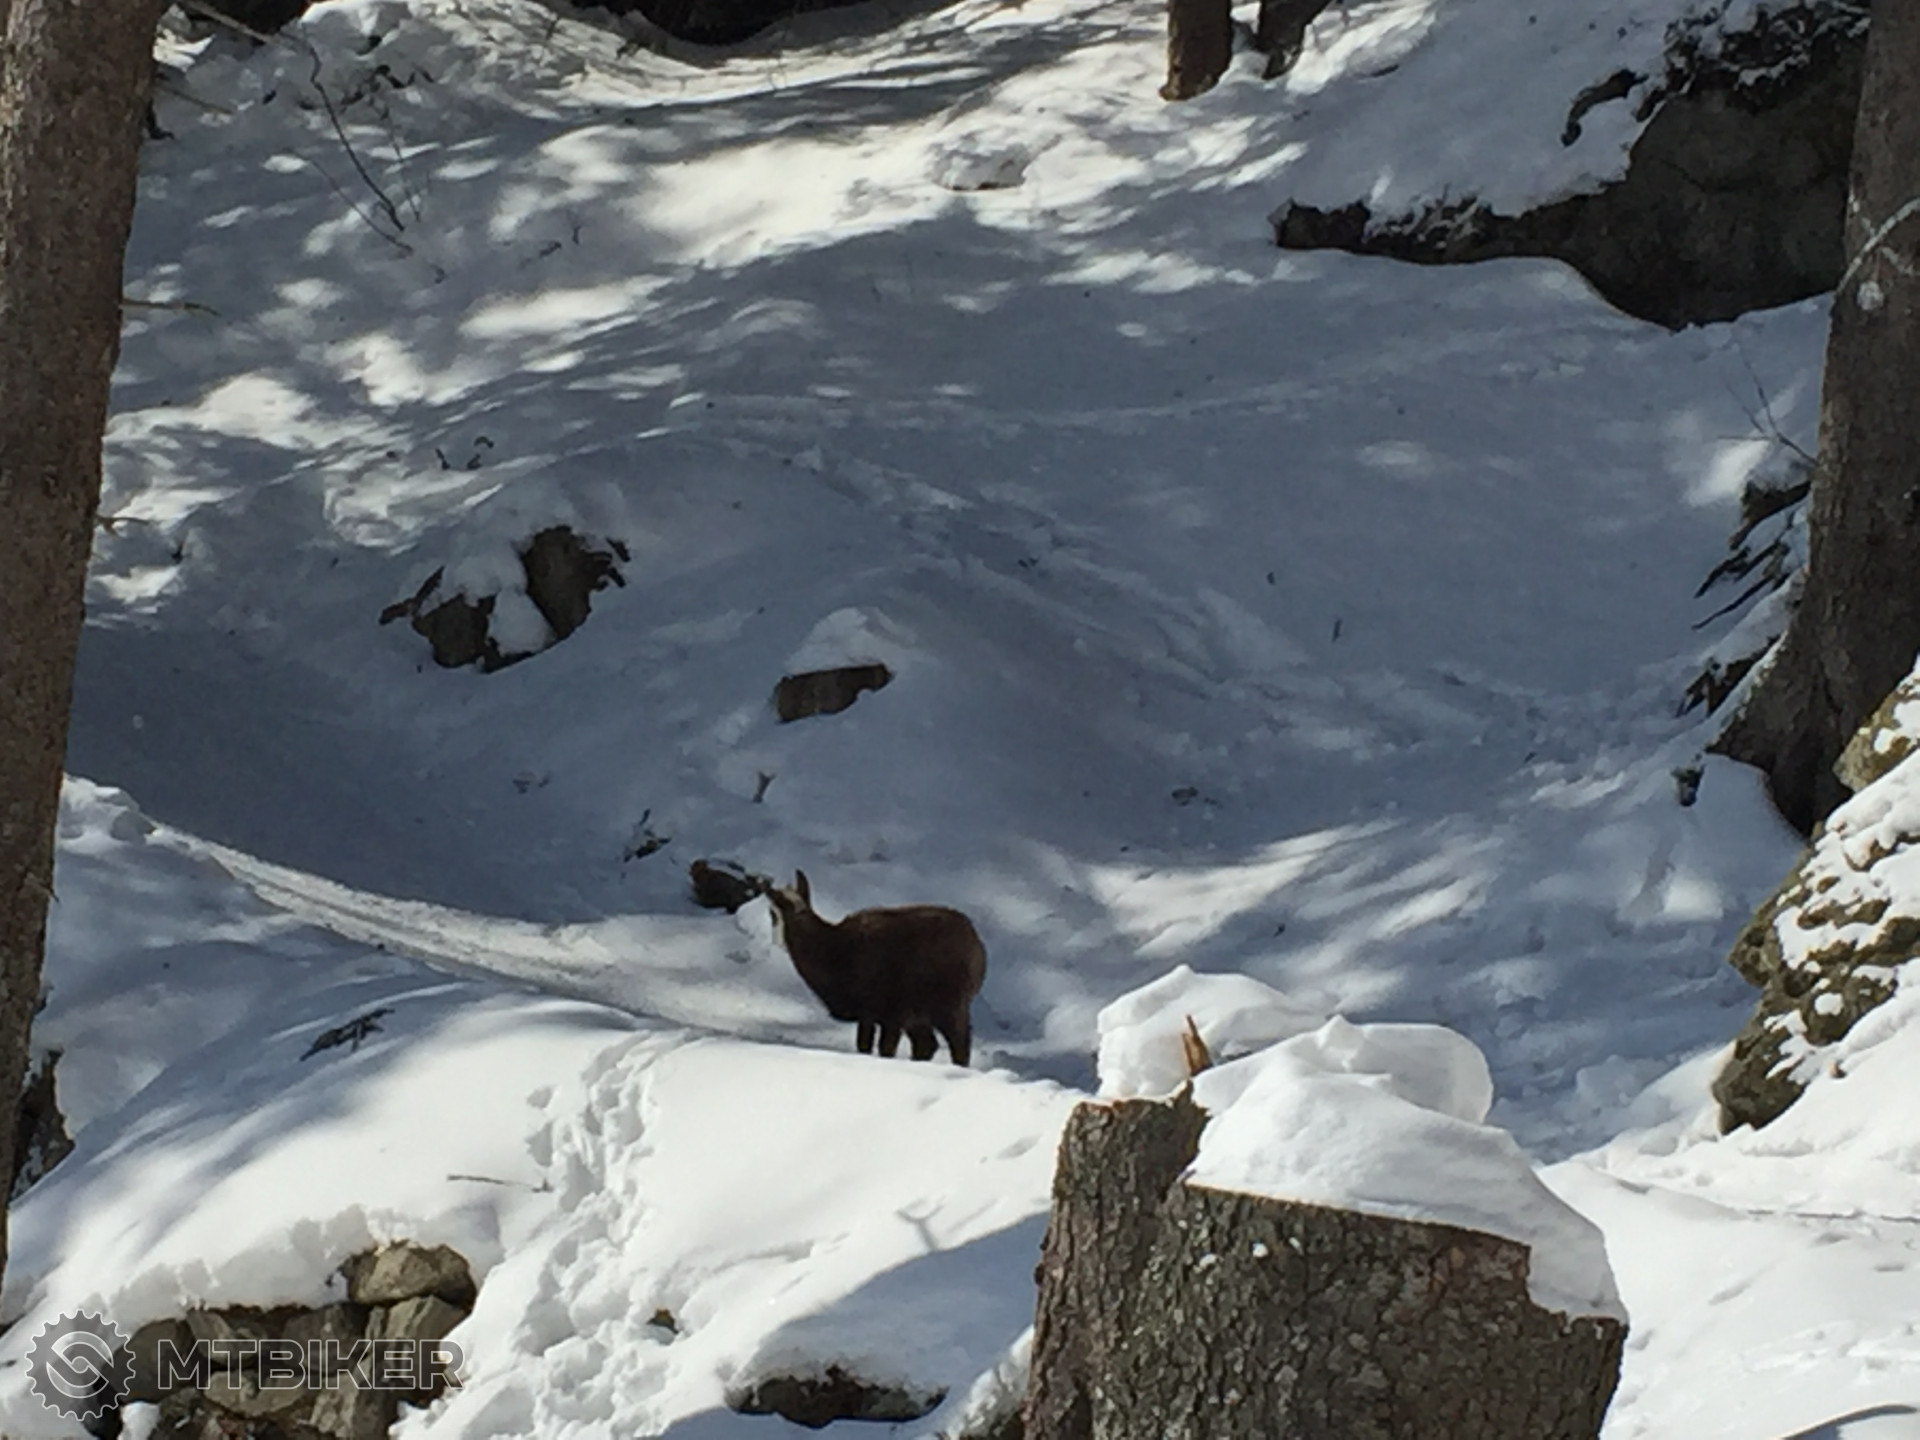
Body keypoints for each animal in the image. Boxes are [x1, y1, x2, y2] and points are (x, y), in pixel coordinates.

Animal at [763, 871, 987, 1066]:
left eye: (772, 914)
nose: (776, 941)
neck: (835, 948)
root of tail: (976, 943)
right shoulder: (887, 1017)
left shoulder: (885, 1016)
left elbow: (878, 1049)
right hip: (921, 1016)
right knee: (926, 1046)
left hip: (949, 1007)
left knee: (959, 1046)